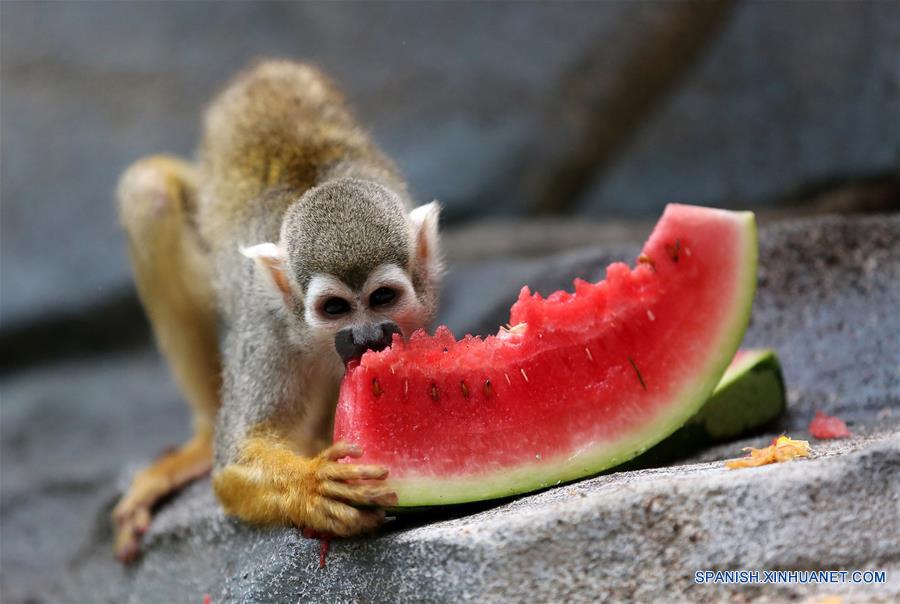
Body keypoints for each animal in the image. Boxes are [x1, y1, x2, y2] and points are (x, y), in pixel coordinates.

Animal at [112, 60, 442, 560]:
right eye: (334, 308)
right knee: (147, 191)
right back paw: (202, 440)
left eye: (382, 298)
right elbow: (235, 461)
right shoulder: (268, 330)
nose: (366, 337)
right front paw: (312, 486)